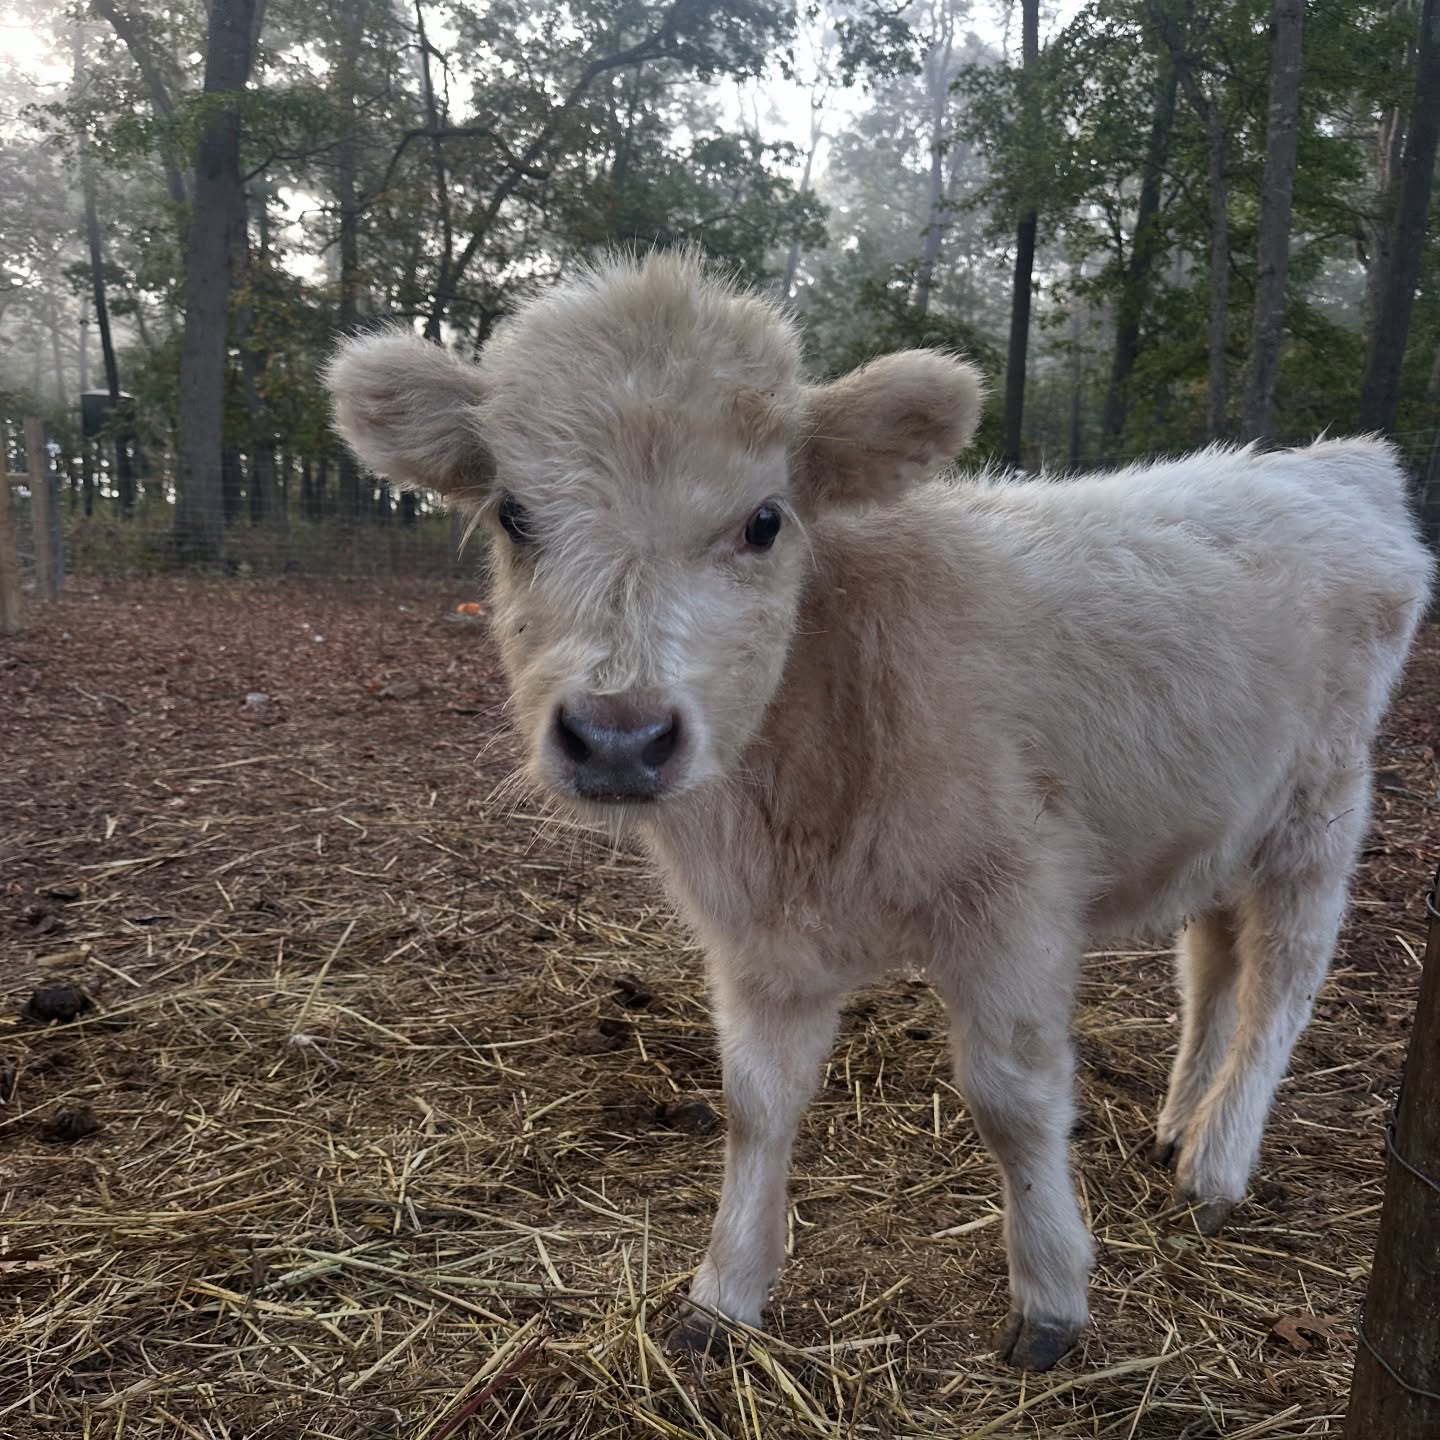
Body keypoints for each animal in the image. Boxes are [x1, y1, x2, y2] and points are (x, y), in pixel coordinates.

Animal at [325, 250, 1435, 1371]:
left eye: (766, 520)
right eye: (514, 514)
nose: (620, 736)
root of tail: (1333, 463)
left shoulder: (1013, 898)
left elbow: (1014, 1102)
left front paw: (1051, 1299)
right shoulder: (758, 936)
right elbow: (754, 1104)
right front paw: (724, 1295)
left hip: (1319, 800)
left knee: (1284, 974)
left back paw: (1217, 1162)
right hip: (1218, 812)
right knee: (1212, 958)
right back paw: (1179, 1124)